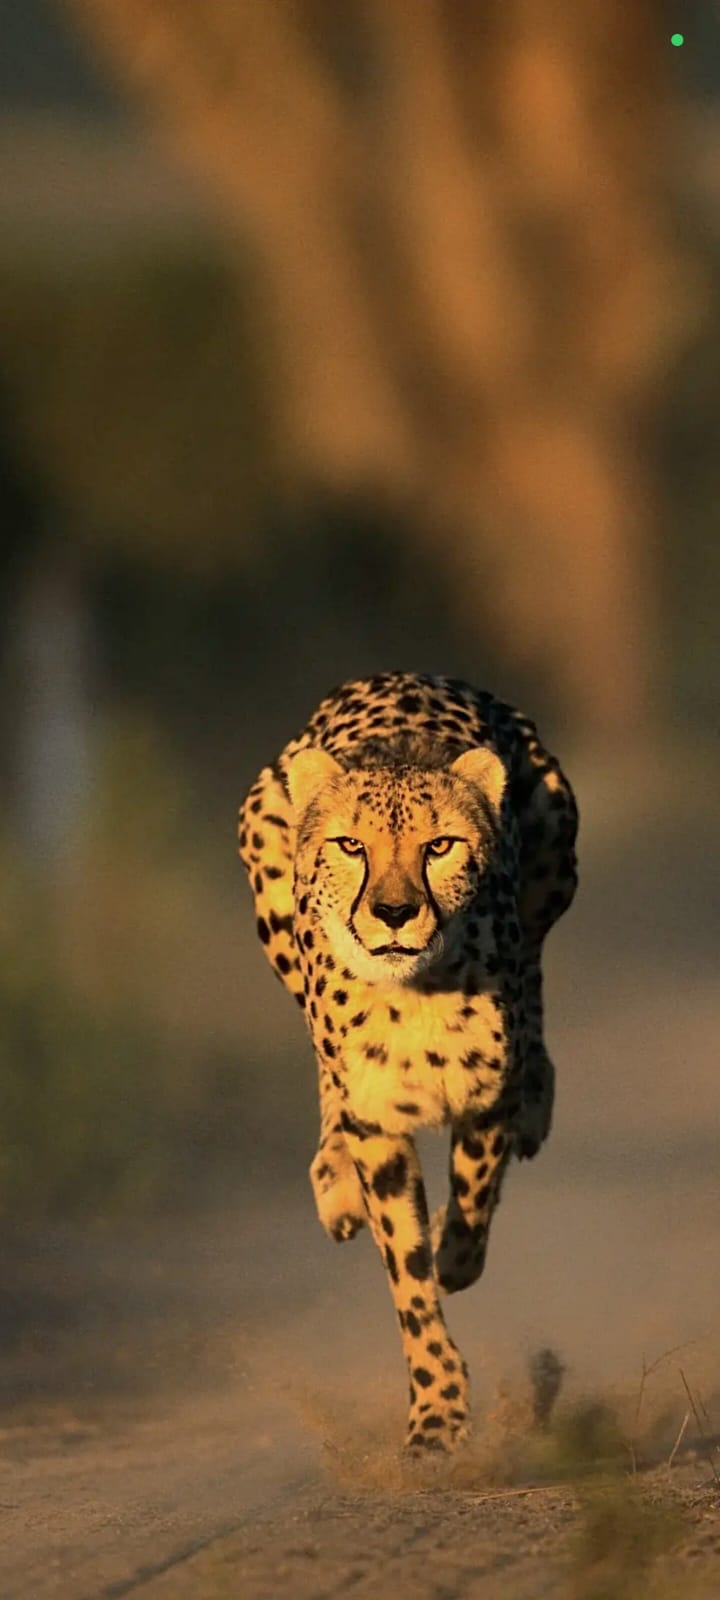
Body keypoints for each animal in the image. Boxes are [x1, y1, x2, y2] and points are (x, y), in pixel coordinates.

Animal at [238, 671, 578, 1453]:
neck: (414, 990)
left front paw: (457, 1256)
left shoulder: (484, 1097)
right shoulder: (378, 1123)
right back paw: (334, 1180)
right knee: (324, 1068)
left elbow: (474, 1196)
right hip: (270, 887)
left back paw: (538, 1097)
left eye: (441, 846)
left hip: (555, 859)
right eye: (350, 846)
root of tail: (401, 676)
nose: (394, 913)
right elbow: (406, 1272)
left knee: (536, 966)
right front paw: (437, 1412)